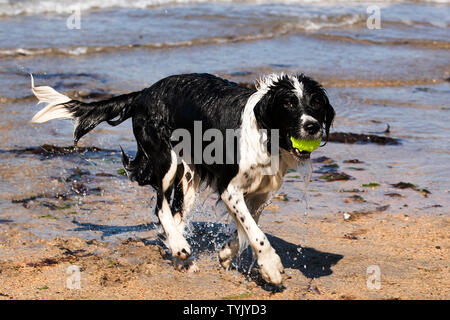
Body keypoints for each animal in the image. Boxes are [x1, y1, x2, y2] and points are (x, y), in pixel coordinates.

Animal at [30, 73, 334, 284]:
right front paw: (271, 267)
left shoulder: (257, 194)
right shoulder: (230, 188)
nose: (312, 126)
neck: (266, 133)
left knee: (175, 215)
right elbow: (256, 234)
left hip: (187, 177)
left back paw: (180, 254)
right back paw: (179, 246)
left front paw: (226, 253)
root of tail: (144, 93)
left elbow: (246, 231)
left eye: (316, 102)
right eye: (288, 103)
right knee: (161, 209)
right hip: (166, 159)